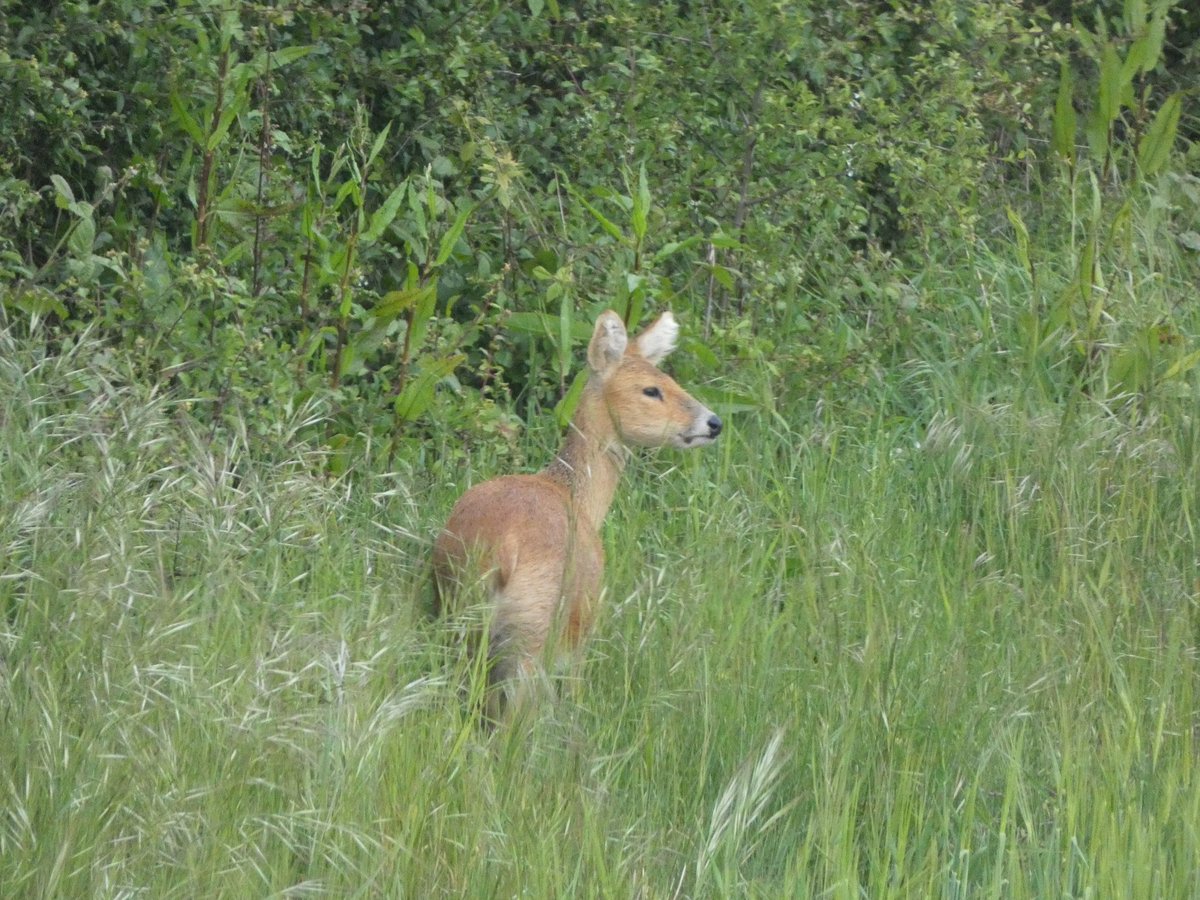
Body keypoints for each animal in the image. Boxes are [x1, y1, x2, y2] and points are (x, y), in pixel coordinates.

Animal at [439, 309, 724, 724]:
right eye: (651, 390)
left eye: (671, 380)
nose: (714, 422)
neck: (579, 498)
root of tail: (500, 550)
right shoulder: (581, 627)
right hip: (533, 629)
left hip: (456, 615)